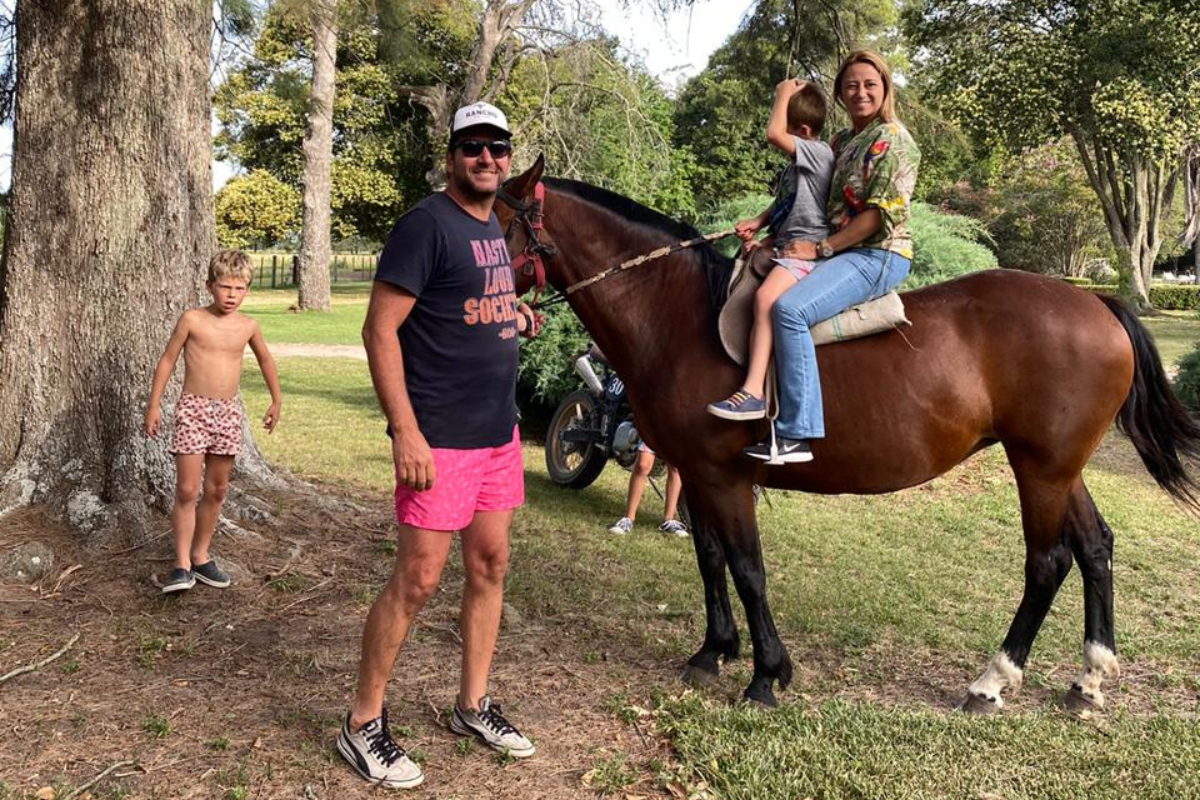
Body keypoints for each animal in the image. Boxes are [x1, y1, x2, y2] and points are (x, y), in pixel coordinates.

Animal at [497, 157, 1200, 710]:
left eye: (493, 220)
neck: (681, 317)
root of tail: (1094, 301)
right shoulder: (695, 473)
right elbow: (711, 559)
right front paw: (713, 652)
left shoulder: (726, 478)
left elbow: (748, 568)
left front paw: (766, 675)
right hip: (1060, 466)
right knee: (1096, 546)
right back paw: (1089, 679)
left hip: (1041, 468)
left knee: (1048, 562)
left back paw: (993, 681)